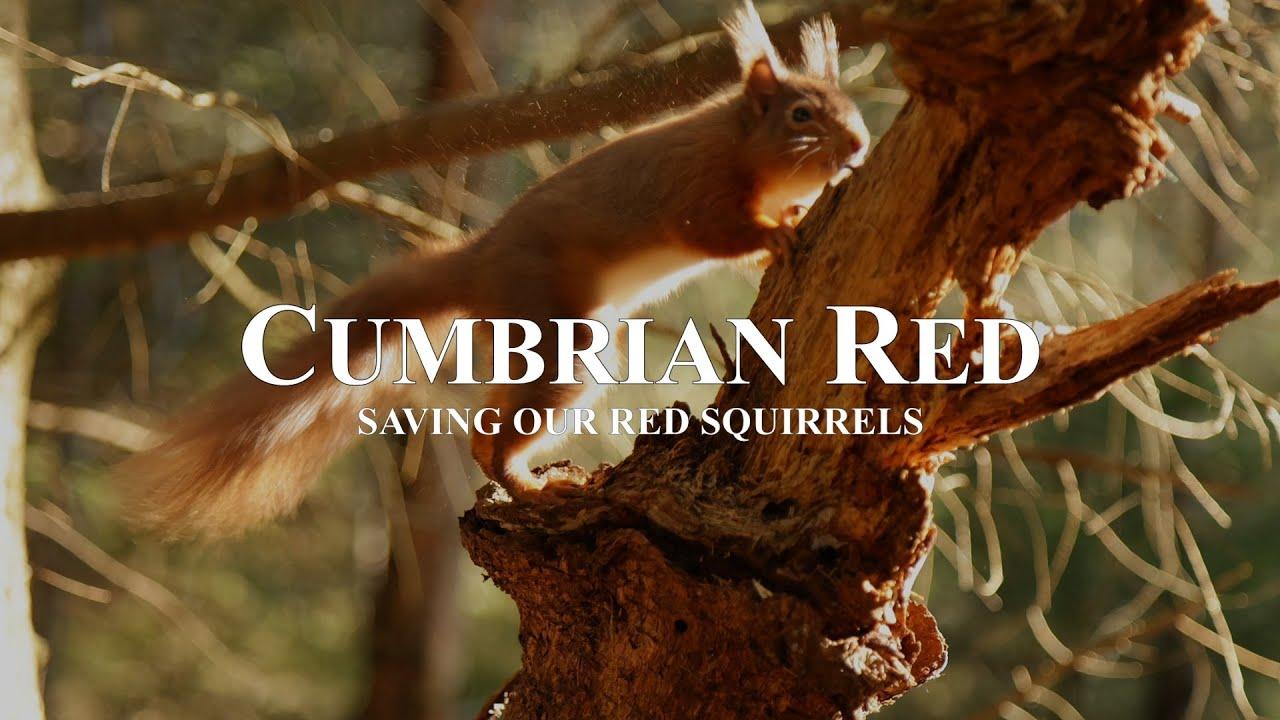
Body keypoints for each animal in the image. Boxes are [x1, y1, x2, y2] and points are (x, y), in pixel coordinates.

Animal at [119, 1, 870, 538]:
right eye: (802, 114)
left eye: (852, 107)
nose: (860, 144)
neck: (737, 140)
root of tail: (477, 261)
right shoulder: (694, 187)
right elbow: (713, 230)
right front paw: (778, 234)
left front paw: (794, 214)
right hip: (555, 328)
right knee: (495, 432)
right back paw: (530, 484)